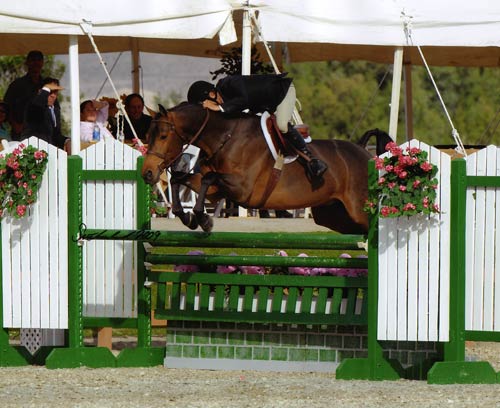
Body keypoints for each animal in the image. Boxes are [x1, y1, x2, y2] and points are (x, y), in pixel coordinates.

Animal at [141, 102, 390, 234]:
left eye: (163, 136)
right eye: (148, 135)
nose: (148, 173)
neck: (224, 138)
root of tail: (364, 152)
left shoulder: (243, 189)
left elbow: (208, 178)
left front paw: (203, 219)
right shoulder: (218, 192)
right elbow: (180, 179)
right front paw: (187, 217)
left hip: (359, 210)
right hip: (334, 215)